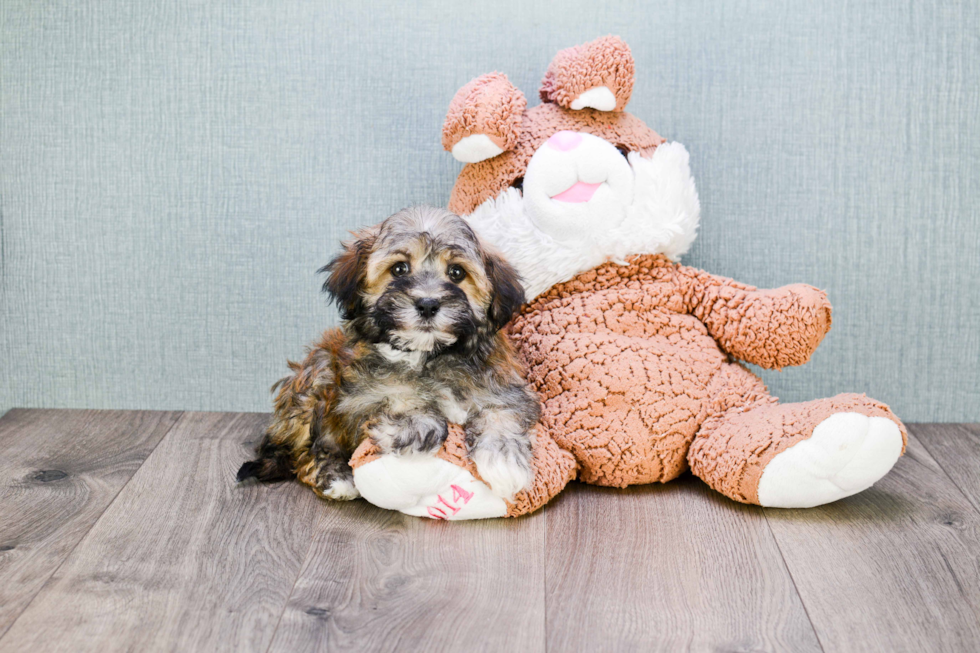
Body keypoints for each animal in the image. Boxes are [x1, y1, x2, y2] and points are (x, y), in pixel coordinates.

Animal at [240, 206, 540, 502]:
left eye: (456, 272)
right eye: (399, 269)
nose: (428, 304)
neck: (429, 354)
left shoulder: (505, 388)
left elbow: (501, 413)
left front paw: (503, 459)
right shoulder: (355, 400)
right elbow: (399, 401)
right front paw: (415, 424)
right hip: (317, 374)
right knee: (305, 452)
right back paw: (336, 477)